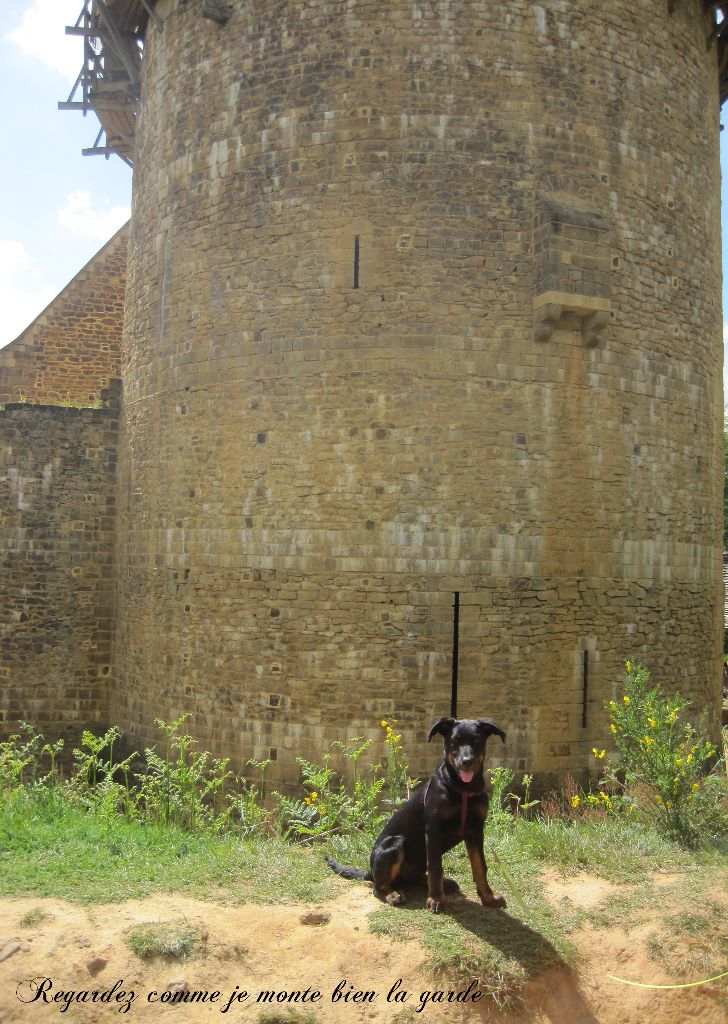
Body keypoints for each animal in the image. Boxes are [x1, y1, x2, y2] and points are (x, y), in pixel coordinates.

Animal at [325, 716, 507, 917]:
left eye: (476, 740)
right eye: (454, 741)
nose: (467, 761)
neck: (463, 789)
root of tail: (370, 871)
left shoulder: (476, 831)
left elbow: (480, 866)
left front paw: (488, 898)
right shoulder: (434, 830)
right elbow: (435, 867)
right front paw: (435, 899)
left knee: (416, 877)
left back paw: (445, 884)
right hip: (395, 845)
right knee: (378, 886)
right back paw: (392, 894)